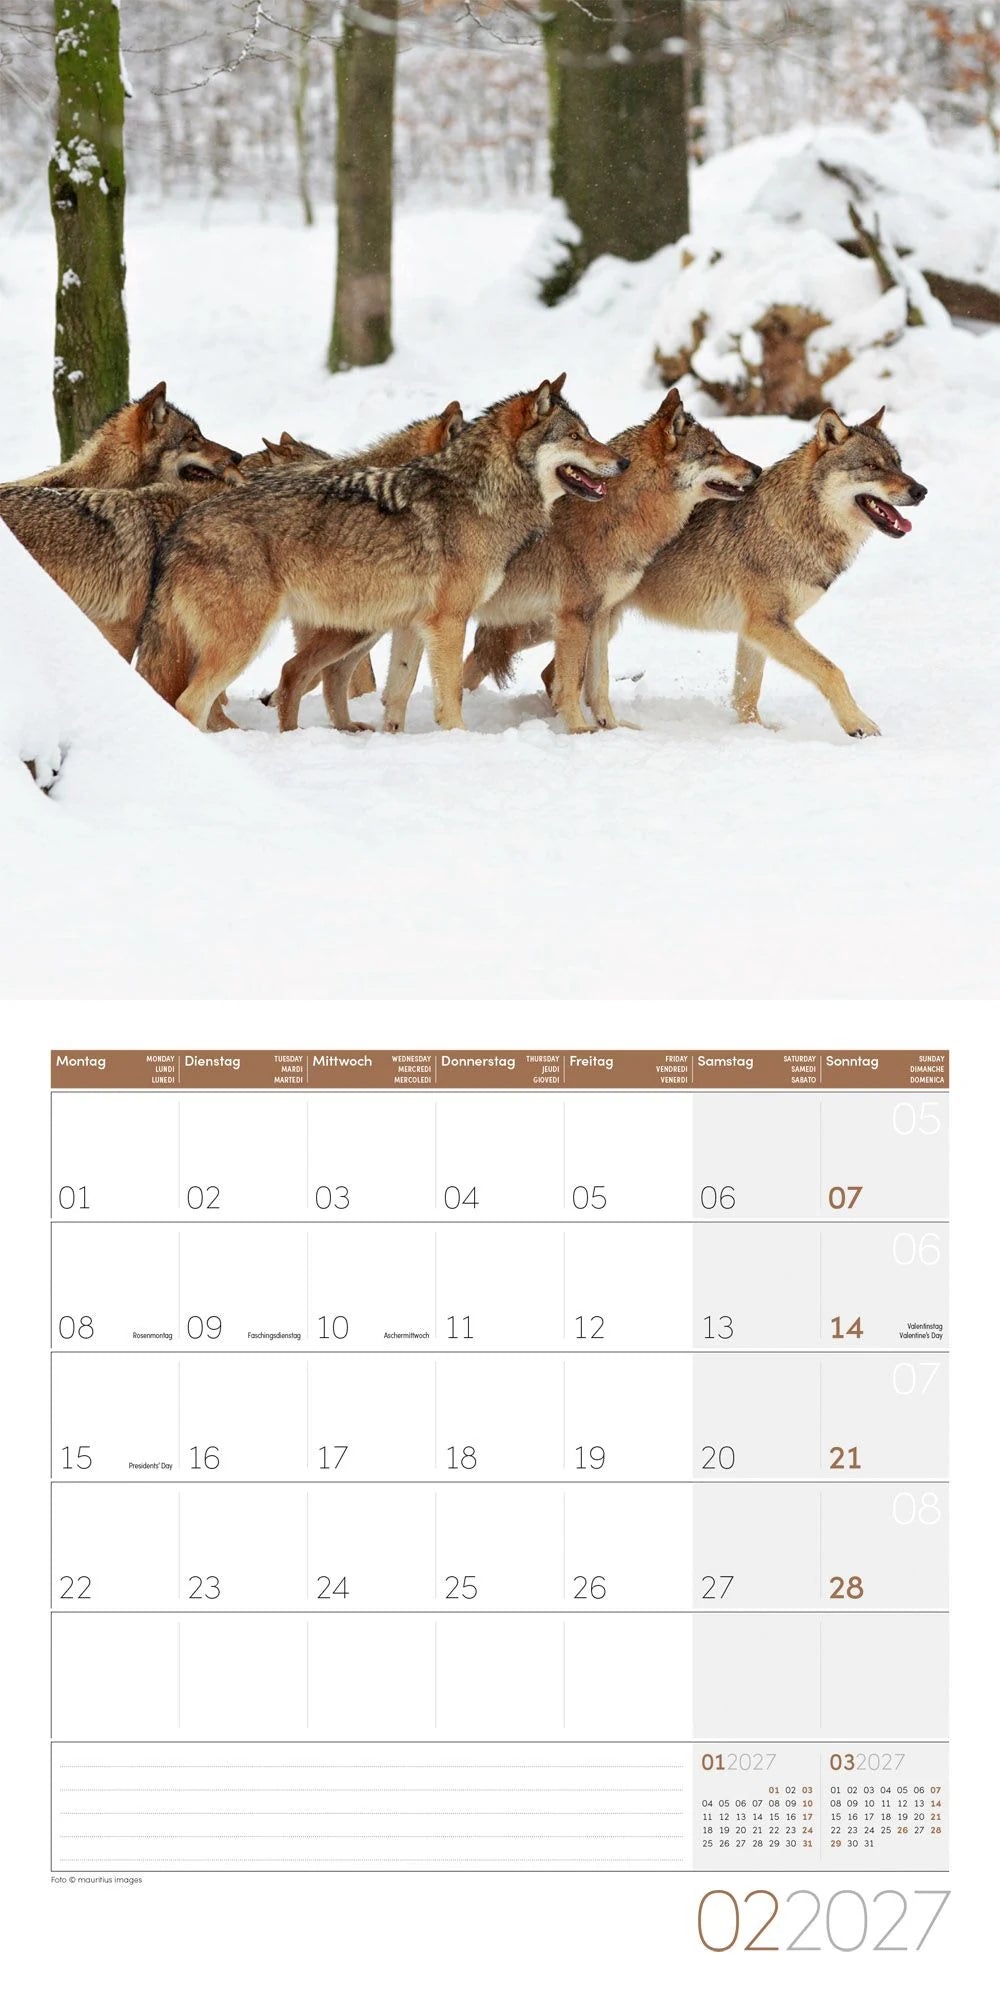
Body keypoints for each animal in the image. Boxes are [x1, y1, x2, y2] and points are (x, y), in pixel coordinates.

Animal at [137, 378, 626, 733]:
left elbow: (398, 693)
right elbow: (450, 695)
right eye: (577, 436)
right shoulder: (449, 621)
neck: (480, 496)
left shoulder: (412, 625)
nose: (622, 463)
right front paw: (459, 740)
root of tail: (180, 527)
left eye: (590, 433)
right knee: (191, 703)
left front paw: (394, 738)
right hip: (247, 643)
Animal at [397, 389, 760, 734]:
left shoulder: (599, 616)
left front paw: (611, 728)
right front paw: (577, 728)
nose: (756, 469)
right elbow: (570, 685)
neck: (619, 513)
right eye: (713, 452)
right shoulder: (574, 616)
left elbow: (600, 683)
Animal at [615, 405, 927, 738]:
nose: (921, 491)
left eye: (898, 463)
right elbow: (832, 671)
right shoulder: (767, 624)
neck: (795, 523)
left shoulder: (754, 630)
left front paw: (754, 733)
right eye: (871, 466)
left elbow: (746, 694)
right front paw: (859, 724)